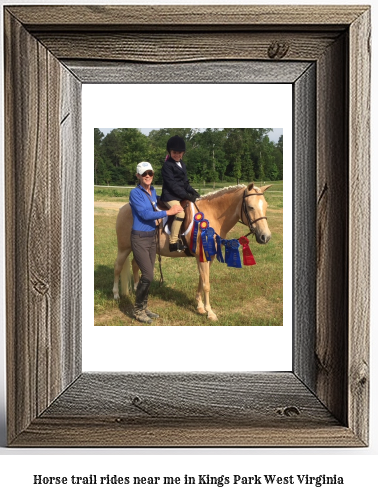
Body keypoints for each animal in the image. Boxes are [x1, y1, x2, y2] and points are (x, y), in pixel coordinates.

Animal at [112, 183, 272, 320]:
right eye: (250, 207)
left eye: (266, 206)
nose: (266, 237)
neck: (212, 216)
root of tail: (124, 208)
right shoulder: (203, 257)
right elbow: (207, 285)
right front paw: (210, 313)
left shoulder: (207, 257)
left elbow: (202, 280)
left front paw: (200, 307)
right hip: (124, 248)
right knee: (118, 267)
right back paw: (116, 295)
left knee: (135, 264)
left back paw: (136, 288)